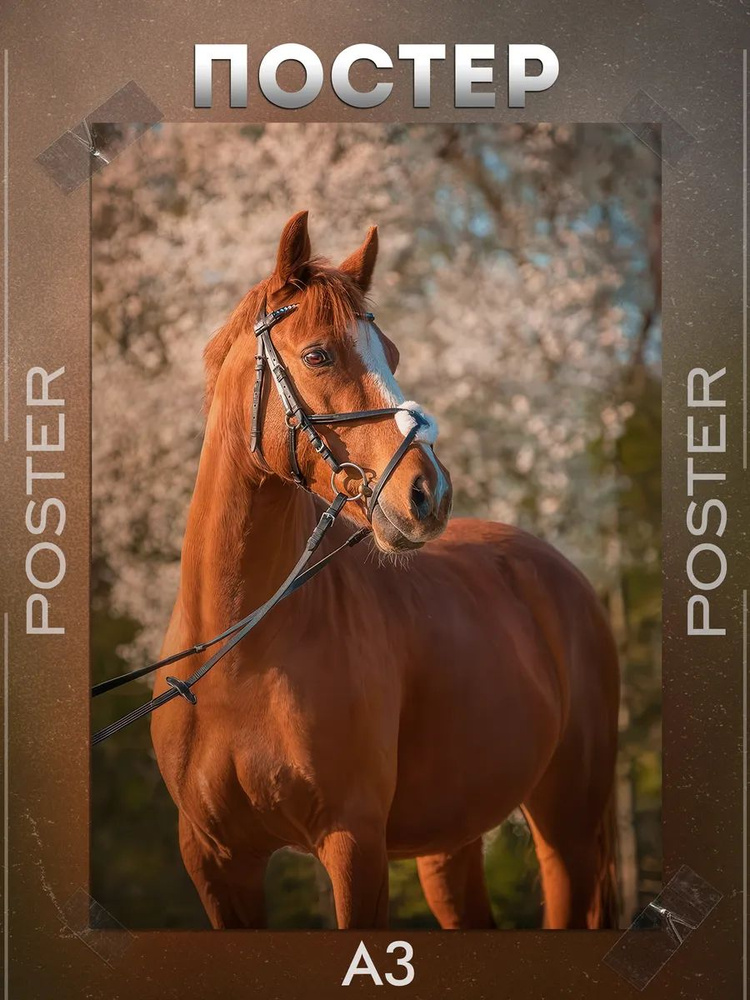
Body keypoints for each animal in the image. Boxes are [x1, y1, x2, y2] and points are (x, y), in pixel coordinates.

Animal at [151, 210, 620, 931]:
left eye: (391, 354)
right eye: (318, 354)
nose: (430, 494)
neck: (240, 656)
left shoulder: (355, 844)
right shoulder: (215, 862)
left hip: (566, 827)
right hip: (451, 840)